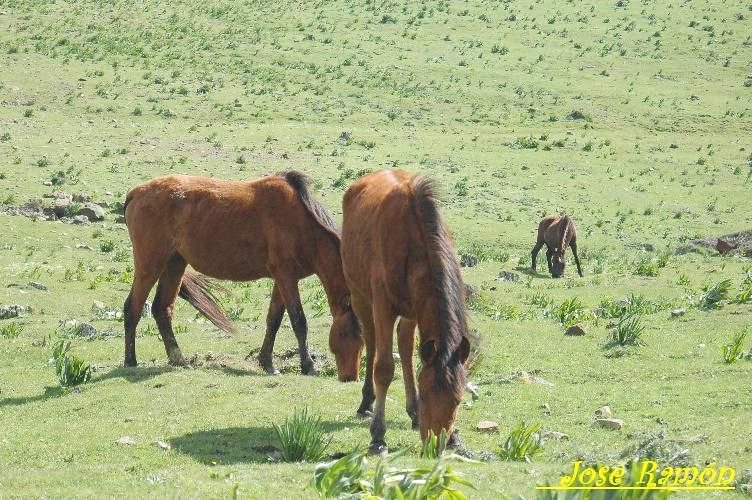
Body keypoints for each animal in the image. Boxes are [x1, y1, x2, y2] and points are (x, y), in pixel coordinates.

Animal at [122, 172, 362, 378]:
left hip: (174, 264)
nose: (351, 377)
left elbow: (274, 320)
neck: (302, 225)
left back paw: (179, 359)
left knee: (162, 309)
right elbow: (298, 321)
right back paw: (130, 360)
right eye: (345, 334)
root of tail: (135, 193)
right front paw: (308, 366)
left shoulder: (282, 279)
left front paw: (267, 363)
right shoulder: (286, 277)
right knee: (133, 307)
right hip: (150, 264)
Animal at [340, 170, 470, 456]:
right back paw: (366, 402)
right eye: (426, 394)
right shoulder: (383, 307)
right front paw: (378, 437)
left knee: (407, 349)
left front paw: (453, 435)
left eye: (457, 400)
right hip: (360, 297)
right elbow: (384, 367)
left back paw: (412, 414)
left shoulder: (415, 309)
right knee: (372, 343)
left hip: (409, 313)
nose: (435, 446)